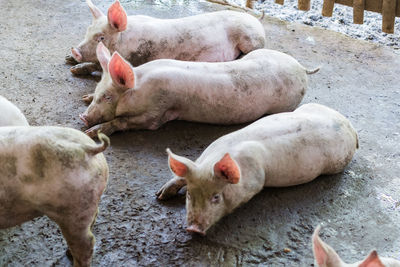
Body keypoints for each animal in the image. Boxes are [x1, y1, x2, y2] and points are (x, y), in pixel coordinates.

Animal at [69, 0, 266, 75]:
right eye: (88, 30)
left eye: (101, 38)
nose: (75, 50)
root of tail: (255, 20)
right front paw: (69, 61)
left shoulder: (136, 58)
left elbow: (98, 64)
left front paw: (74, 70)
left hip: (250, 39)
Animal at [79, 42, 318, 137]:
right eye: (99, 91)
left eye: (108, 97)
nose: (83, 117)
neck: (140, 87)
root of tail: (301, 68)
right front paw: (84, 97)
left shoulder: (158, 112)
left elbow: (126, 121)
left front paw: (91, 133)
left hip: (285, 104)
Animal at [155, 103, 358, 236]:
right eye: (189, 195)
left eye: (216, 197)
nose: (193, 229)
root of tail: (349, 126)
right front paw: (160, 196)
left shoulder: (256, 182)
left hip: (338, 163)